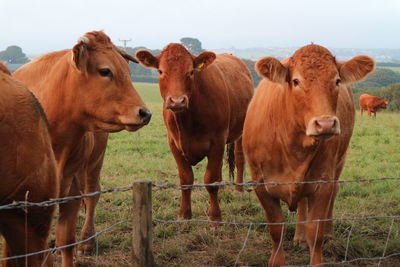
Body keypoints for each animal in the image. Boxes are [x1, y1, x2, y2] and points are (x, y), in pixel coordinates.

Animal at [13, 30, 152, 266]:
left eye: (127, 72)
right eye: (105, 71)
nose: (145, 113)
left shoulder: (72, 187)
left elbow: (66, 239)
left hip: (94, 164)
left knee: (92, 195)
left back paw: (87, 242)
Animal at [136, 44, 252, 223]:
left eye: (190, 72)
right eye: (161, 71)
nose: (177, 101)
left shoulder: (217, 141)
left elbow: (210, 180)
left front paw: (215, 217)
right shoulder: (173, 143)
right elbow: (186, 179)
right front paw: (184, 215)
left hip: (240, 130)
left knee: (239, 158)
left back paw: (239, 190)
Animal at [241, 45, 376, 266]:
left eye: (336, 80)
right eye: (296, 81)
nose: (326, 124)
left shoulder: (322, 184)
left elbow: (316, 231)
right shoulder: (261, 184)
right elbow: (276, 229)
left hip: (339, 162)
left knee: (335, 190)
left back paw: (326, 233)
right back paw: (299, 237)